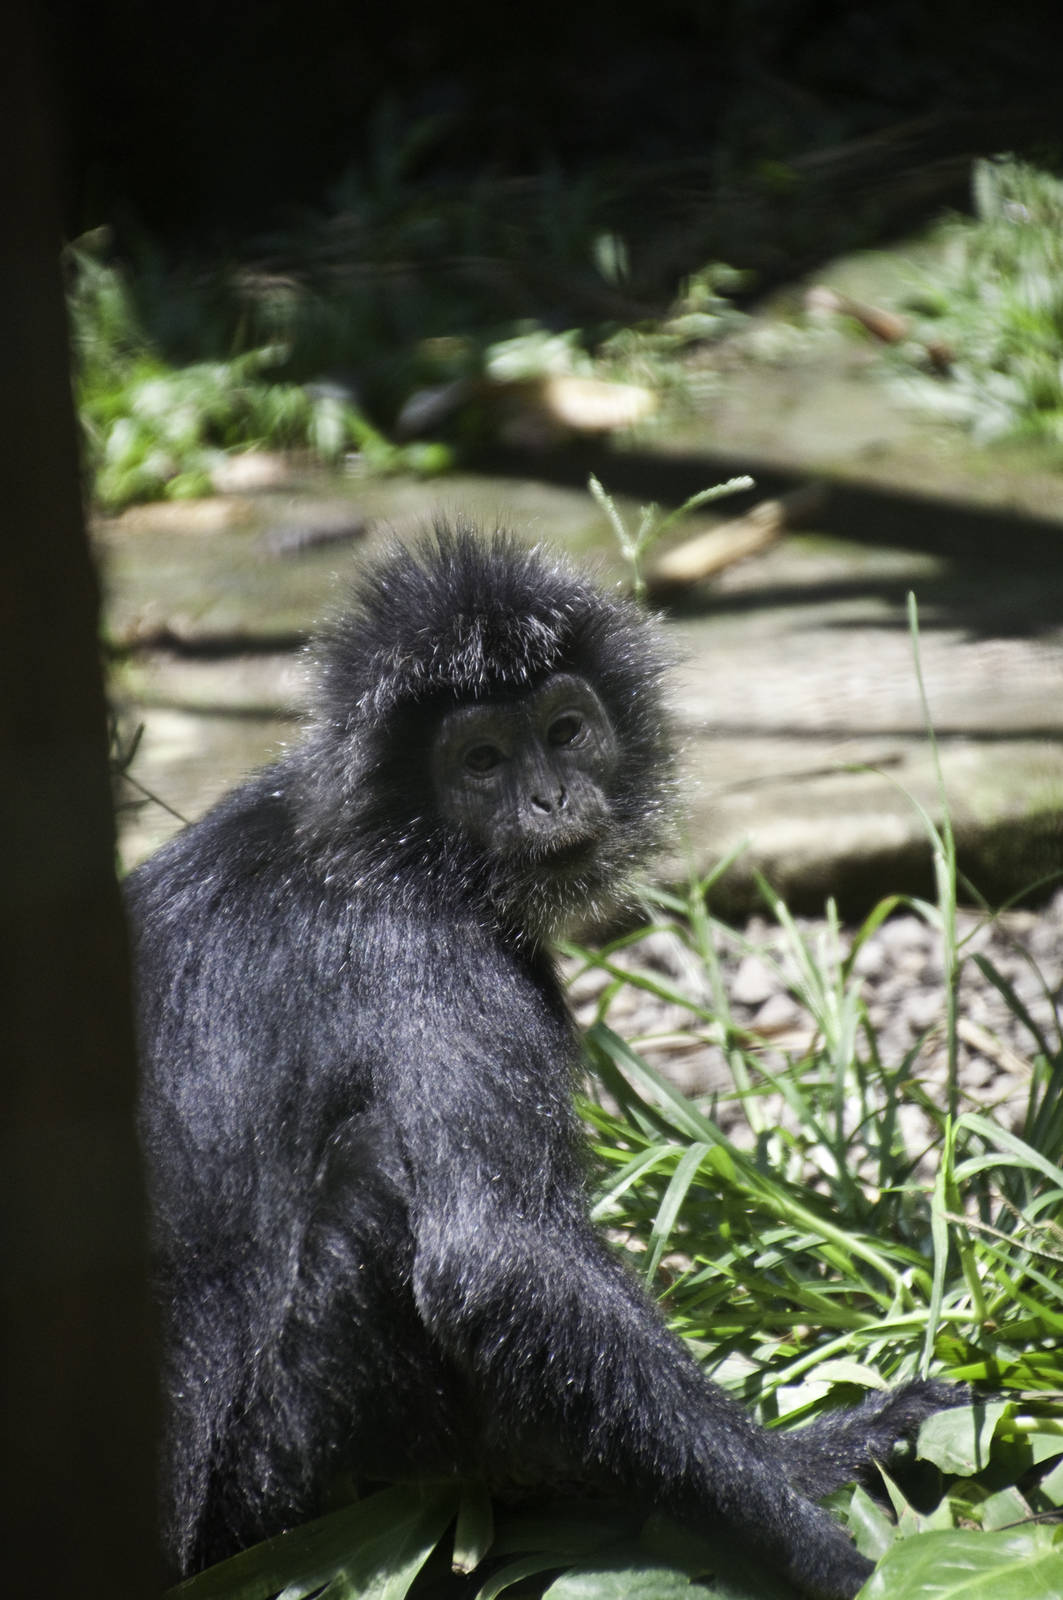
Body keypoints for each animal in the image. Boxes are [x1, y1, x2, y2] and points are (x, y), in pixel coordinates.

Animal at [127, 521, 961, 1597]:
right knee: (385, 1183)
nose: (549, 796)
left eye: (564, 732)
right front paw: (821, 1510)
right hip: (268, 1486)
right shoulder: (428, 951)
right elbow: (501, 1265)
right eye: (481, 759)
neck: (373, 839)